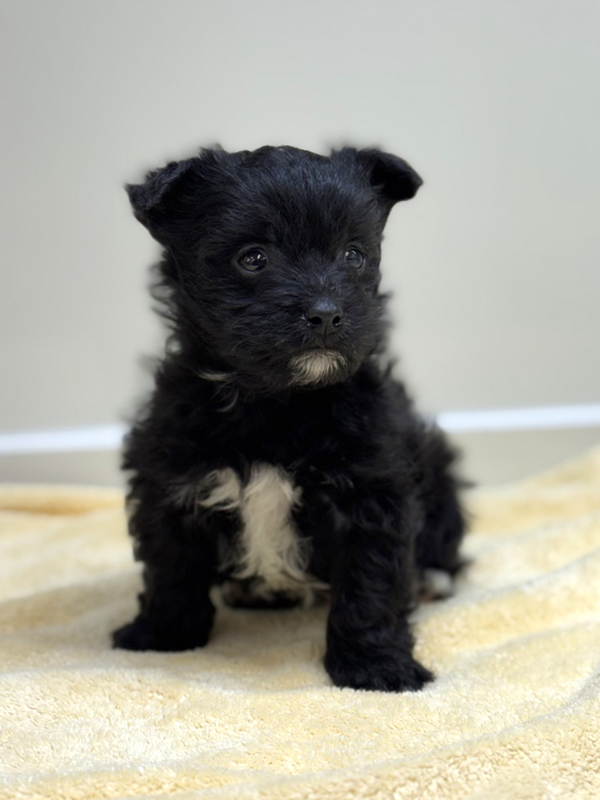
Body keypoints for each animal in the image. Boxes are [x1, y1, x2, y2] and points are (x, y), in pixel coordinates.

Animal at [112, 145, 466, 692]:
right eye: (253, 257)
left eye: (353, 254)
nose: (325, 314)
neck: (276, 401)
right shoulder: (169, 479)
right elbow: (170, 564)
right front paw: (163, 635)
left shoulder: (372, 490)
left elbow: (371, 585)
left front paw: (376, 667)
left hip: (438, 465)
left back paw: (431, 578)